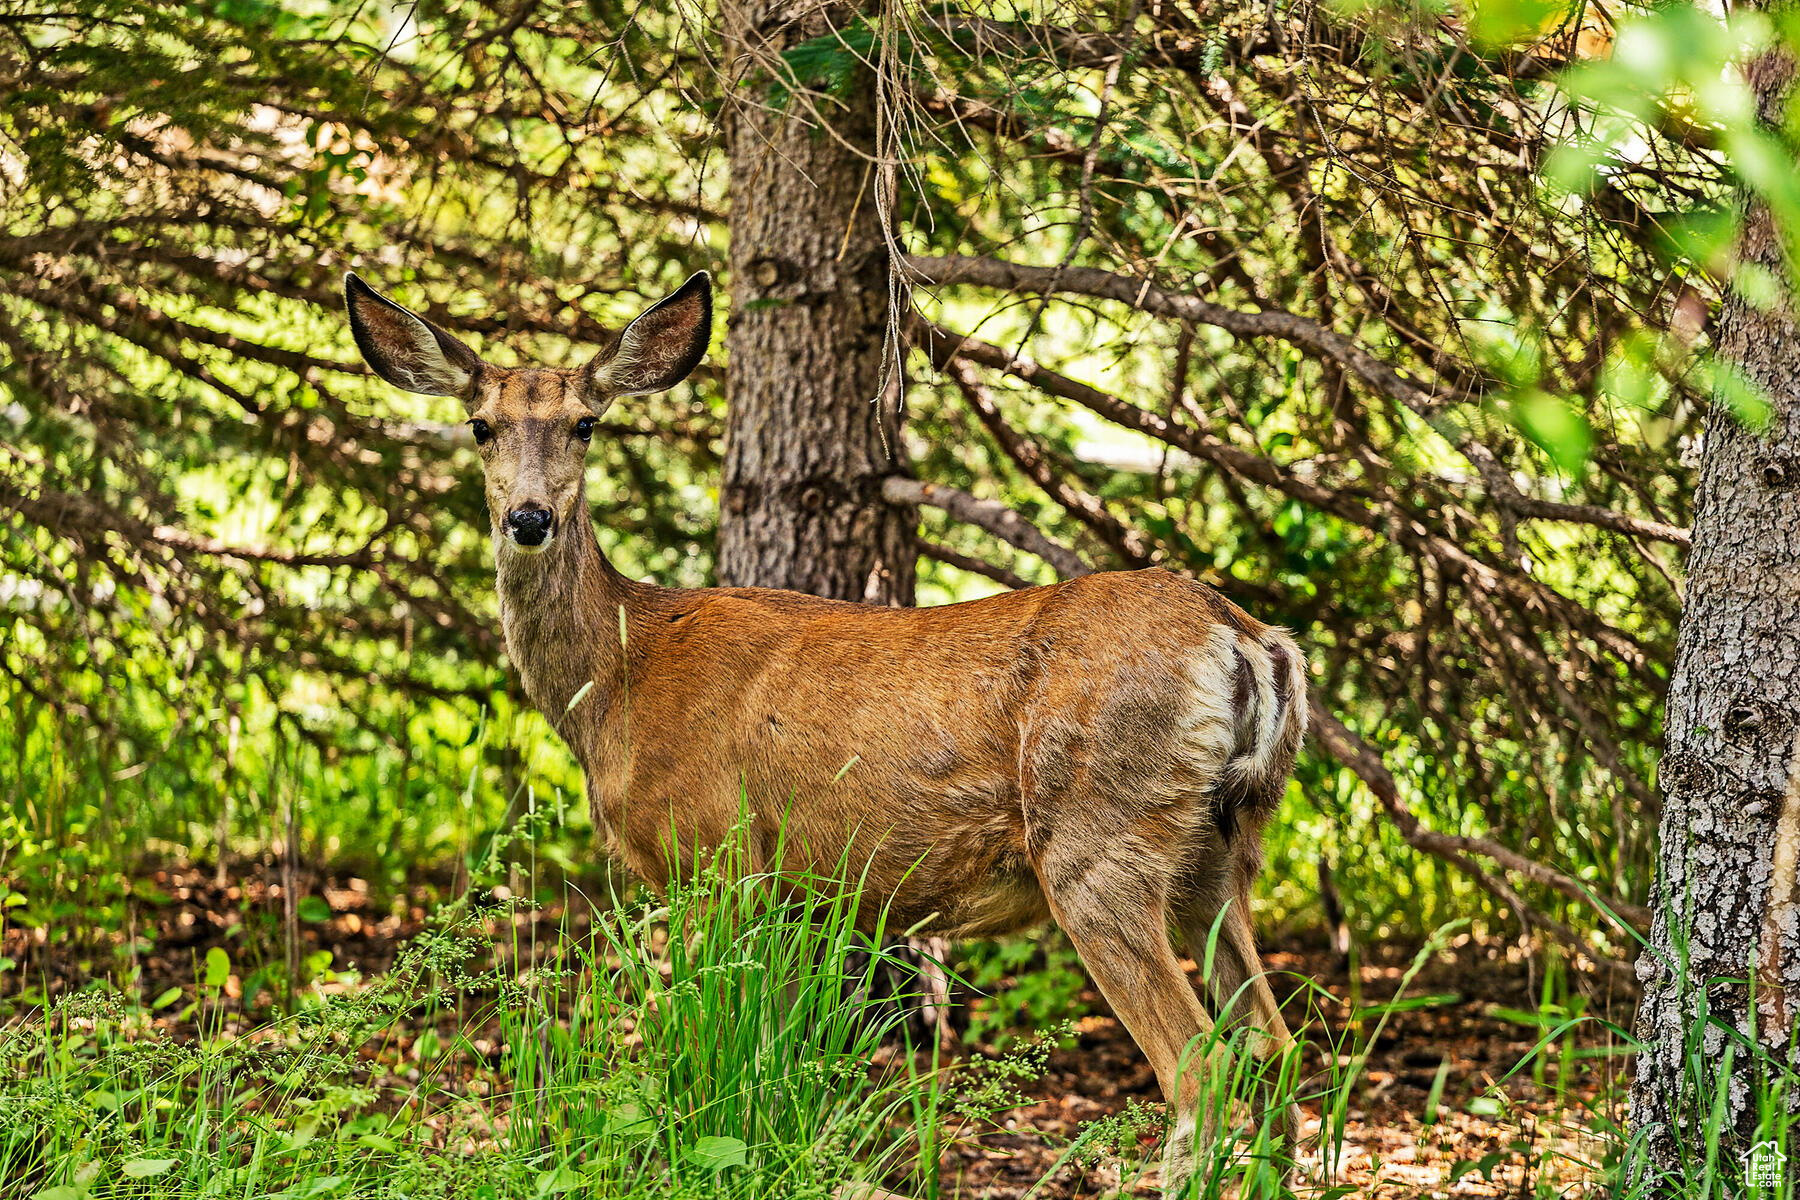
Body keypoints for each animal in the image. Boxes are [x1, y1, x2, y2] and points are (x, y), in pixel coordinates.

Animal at [343, 269, 1310, 1180]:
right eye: (480, 425)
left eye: (585, 424)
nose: (530, 518)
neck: (619, 676)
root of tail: (1246, 638)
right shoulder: (796, 891)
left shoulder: (715, 853)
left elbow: (717, 1051)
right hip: (1220, 853)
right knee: (1278, 1050)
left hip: (1099, 837)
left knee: (1201, 1066)